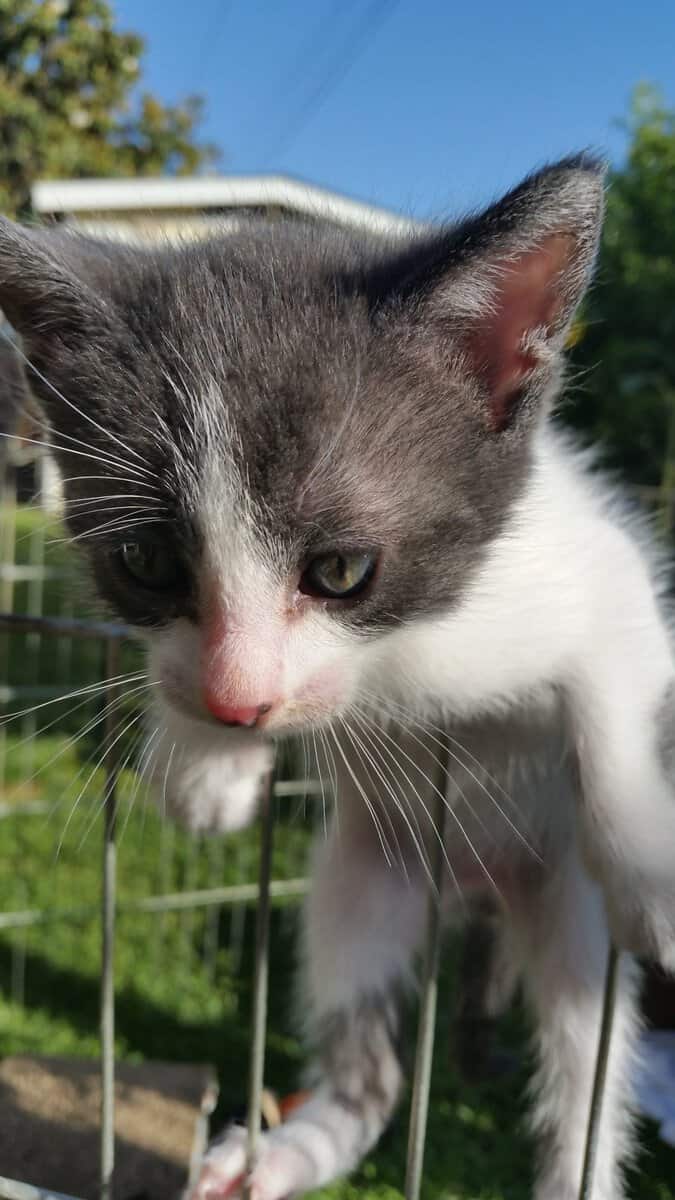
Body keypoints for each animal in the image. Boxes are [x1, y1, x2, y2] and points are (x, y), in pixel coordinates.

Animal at [1, 159, 672, 1200]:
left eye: (343, 571)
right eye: (147, 562)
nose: (239, 703)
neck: (396, 659)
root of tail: (473, 889)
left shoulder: (597, 568)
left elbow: (614, 694)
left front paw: (650, 874)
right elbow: (182, 678)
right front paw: (202, 763)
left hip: (566, 915)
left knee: (581, 1079)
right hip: (357, 882)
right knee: (376, 1074)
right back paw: (284, 1152)